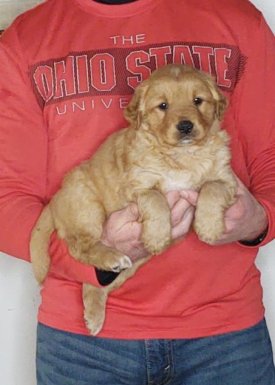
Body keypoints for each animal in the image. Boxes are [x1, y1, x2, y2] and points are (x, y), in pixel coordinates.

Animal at [29, 64, 237, 334]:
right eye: (163, 106)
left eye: (198, 101)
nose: (185, 126)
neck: (182, 155)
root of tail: (55, 199)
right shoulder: (136, 186)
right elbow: (157, 199)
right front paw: (158, 236)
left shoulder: (228, 179)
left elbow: (212, 187)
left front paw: (209, 228)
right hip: (87, 207)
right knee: (79, 248)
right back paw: (112, 257)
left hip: (133, 264)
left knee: (94, 282)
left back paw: (94, 315)